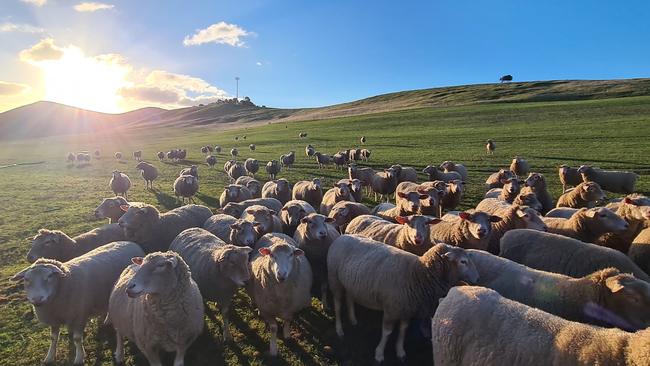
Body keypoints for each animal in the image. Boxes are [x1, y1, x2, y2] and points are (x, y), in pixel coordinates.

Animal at [11, 242, 143, 364]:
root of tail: (129, 242)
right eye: (26, 280)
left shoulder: (79, 315)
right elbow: (53, 338)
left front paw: (79, 358)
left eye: (49, 276)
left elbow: (77, 338)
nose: (37, 299)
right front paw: (49, 357)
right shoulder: (55, 319)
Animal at [330, 237, 476, 364]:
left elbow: (403, 330)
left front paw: (400, 352)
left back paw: (353, 320)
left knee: (349, 298)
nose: (477, 278)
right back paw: (339, 330)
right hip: (335, 280)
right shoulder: (391, 309)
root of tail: (342, 236)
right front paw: (379, 354)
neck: (419, 273)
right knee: (337, 305)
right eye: (463, 261)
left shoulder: (407, 309)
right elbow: (387, 332)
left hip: (350, 283)